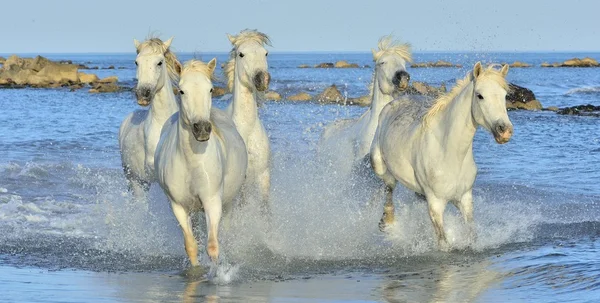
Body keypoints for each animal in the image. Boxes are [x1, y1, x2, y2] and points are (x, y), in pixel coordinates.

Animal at [156, 58, 250, 266]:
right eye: (181, 91)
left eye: (211, 89)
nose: (202, 129)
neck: (192, 163)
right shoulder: (178, 206)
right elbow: (191, 245)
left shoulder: (212, 201)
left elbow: (213, 246)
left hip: (228, 203)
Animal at [372, 63, 512, 251]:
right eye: (480, 95)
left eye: (505, 95)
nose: (504, 131)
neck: (449, 153)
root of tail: (391, 105)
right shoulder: (436, 203)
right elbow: (443, 244)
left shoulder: (464, 198)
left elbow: (472, 235)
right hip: (380, 166)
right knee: (389, 186)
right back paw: (387, 222)